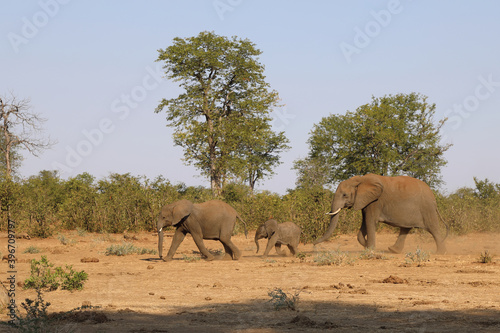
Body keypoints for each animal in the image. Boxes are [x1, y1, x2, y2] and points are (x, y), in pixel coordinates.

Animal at [312, 172, 450, 253]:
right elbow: (364, 223)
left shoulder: (375, 201)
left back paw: (440, 252)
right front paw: (367, 246)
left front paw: (370, 249)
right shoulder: (365, 201)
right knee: (406, 228)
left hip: (427, 208)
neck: (360, 179)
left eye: (345, 195)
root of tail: (433, 197)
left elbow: (370, 221)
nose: (313, 245)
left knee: (433, 228)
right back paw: (393, 250)